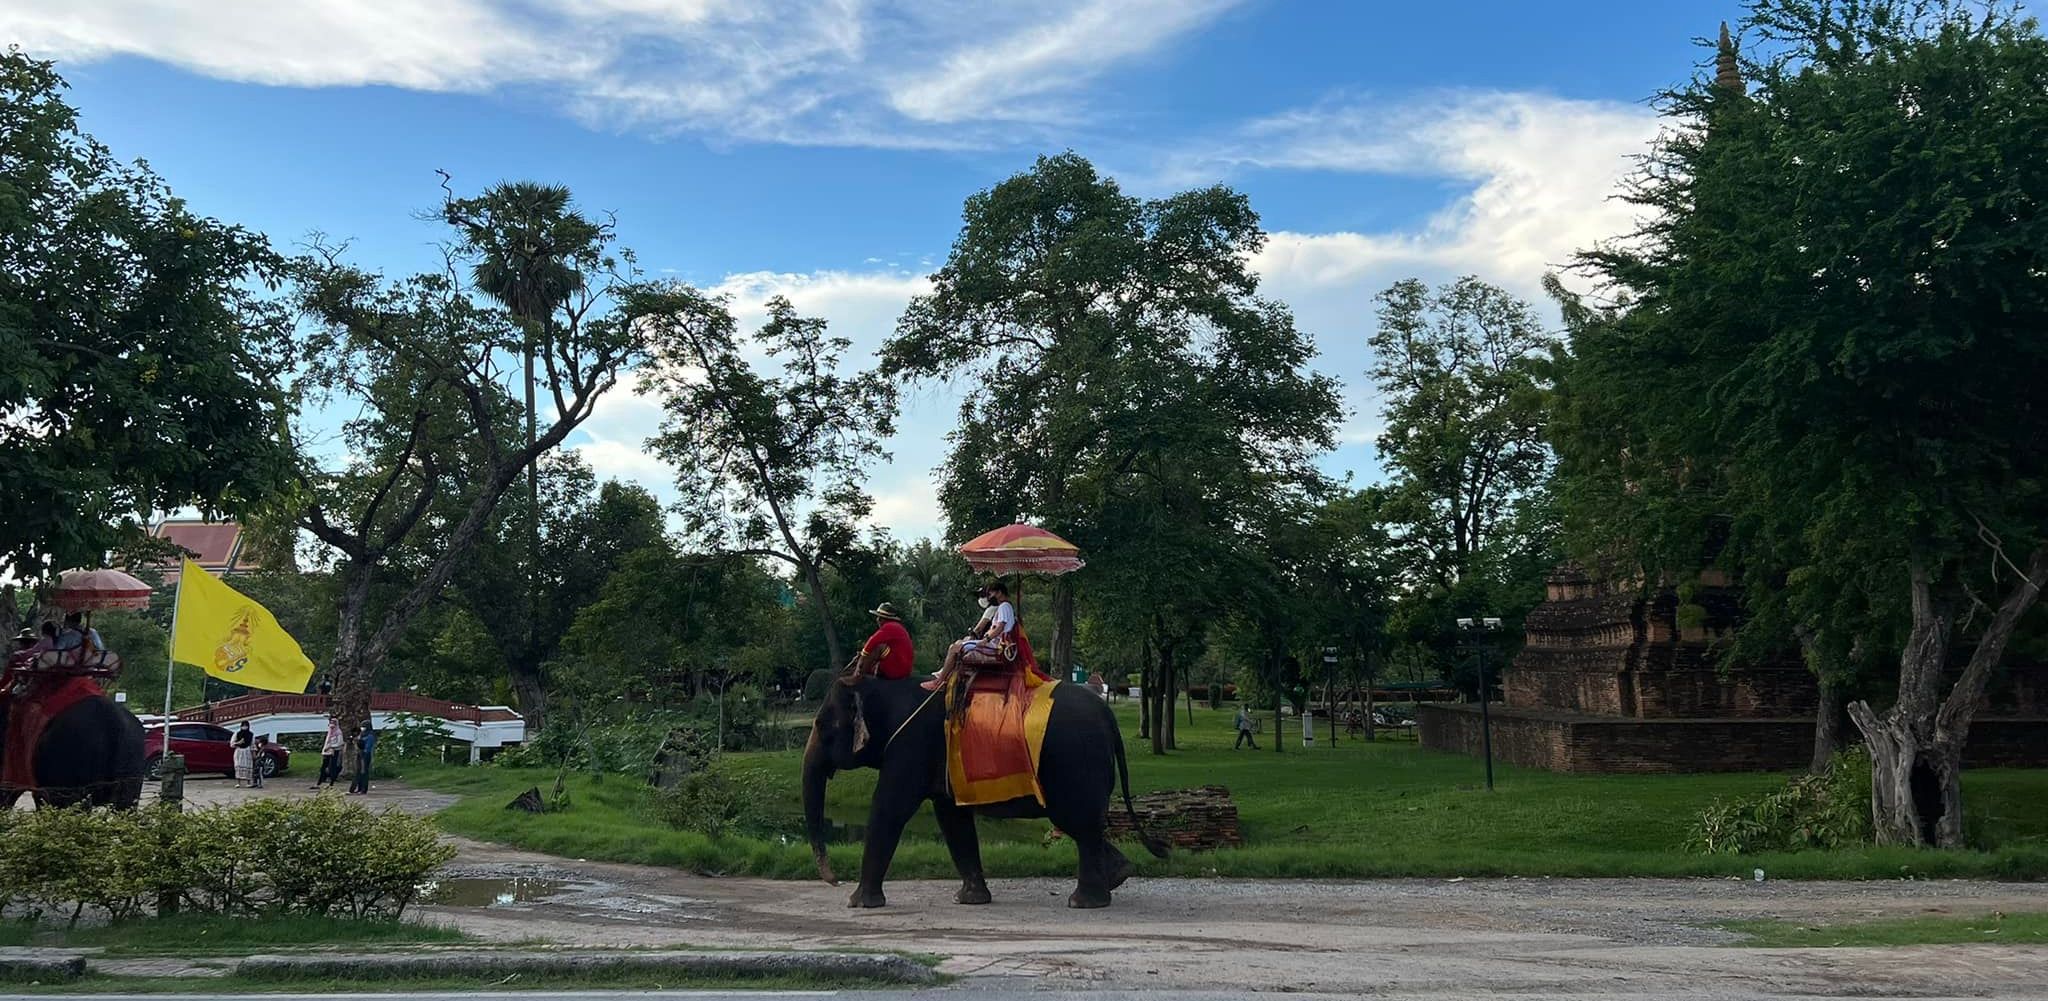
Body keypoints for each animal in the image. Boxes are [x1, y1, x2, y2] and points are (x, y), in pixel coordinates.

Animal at [794, 675, 1163, 908]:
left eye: (821, 726)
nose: (834, 881)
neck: (882, 685)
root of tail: (1108, 714)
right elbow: (951, 818)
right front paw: (969, 900)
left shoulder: (910, 745)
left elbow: (889, 808)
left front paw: (857, 904)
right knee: (1084, 824)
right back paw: (1117, 875)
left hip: (1076, 763)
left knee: (1078, 823)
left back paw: (1084, 902)